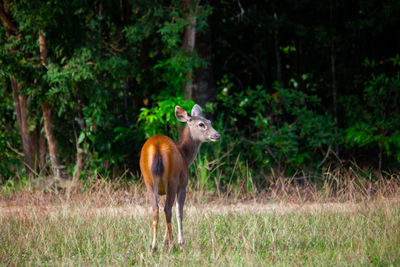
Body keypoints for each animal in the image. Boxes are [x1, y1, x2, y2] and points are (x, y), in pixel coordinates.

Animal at [140, 104, 222, 251]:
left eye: (209, 121)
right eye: (201, 124)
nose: (217, 135)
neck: (185, 156)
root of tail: (157, 147)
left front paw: (164, 241)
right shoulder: (183, 184)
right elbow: (179, 212)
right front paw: (179, 242)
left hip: (148, 180)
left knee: (156, 209)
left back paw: (154, 246)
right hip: (172, 179)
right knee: (167, 209)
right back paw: (173, 245)